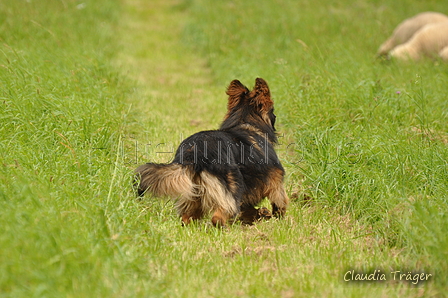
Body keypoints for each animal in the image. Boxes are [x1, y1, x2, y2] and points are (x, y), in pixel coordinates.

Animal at [135, 78, 288, 227]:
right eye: (273, 110)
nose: (276, 116)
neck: (245, 122)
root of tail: (193, 154)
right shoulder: (274, 180)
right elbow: (280, 199)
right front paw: (274, 215)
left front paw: (259, 215)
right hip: (232, 185)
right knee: (220, 215)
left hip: (193, 193)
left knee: (187, 218)